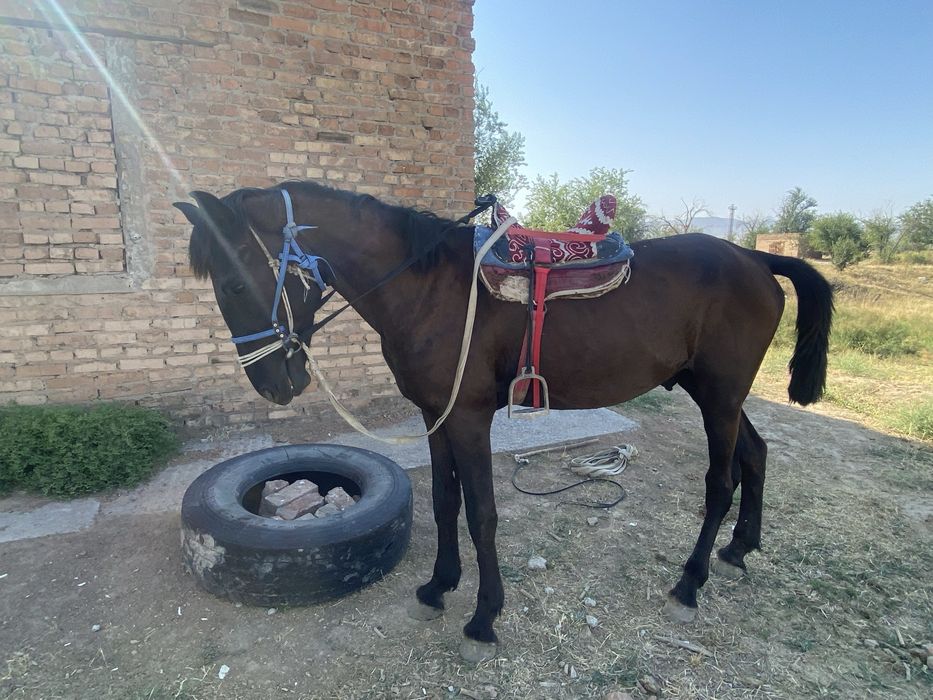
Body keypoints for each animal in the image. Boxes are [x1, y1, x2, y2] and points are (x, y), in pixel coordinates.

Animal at [174, 180, 833, 662]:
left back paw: (690, 583)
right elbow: (444, 501)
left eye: (236, 282)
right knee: (756, 455)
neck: (426, 285)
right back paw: (740, 547)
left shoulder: (468, 419)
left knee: (720, 482)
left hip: (719, 397)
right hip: (717, 394)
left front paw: (484, 617)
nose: (274, 383)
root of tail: (754, 257)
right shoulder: (435, 416)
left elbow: (481, 513)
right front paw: (439, 586)